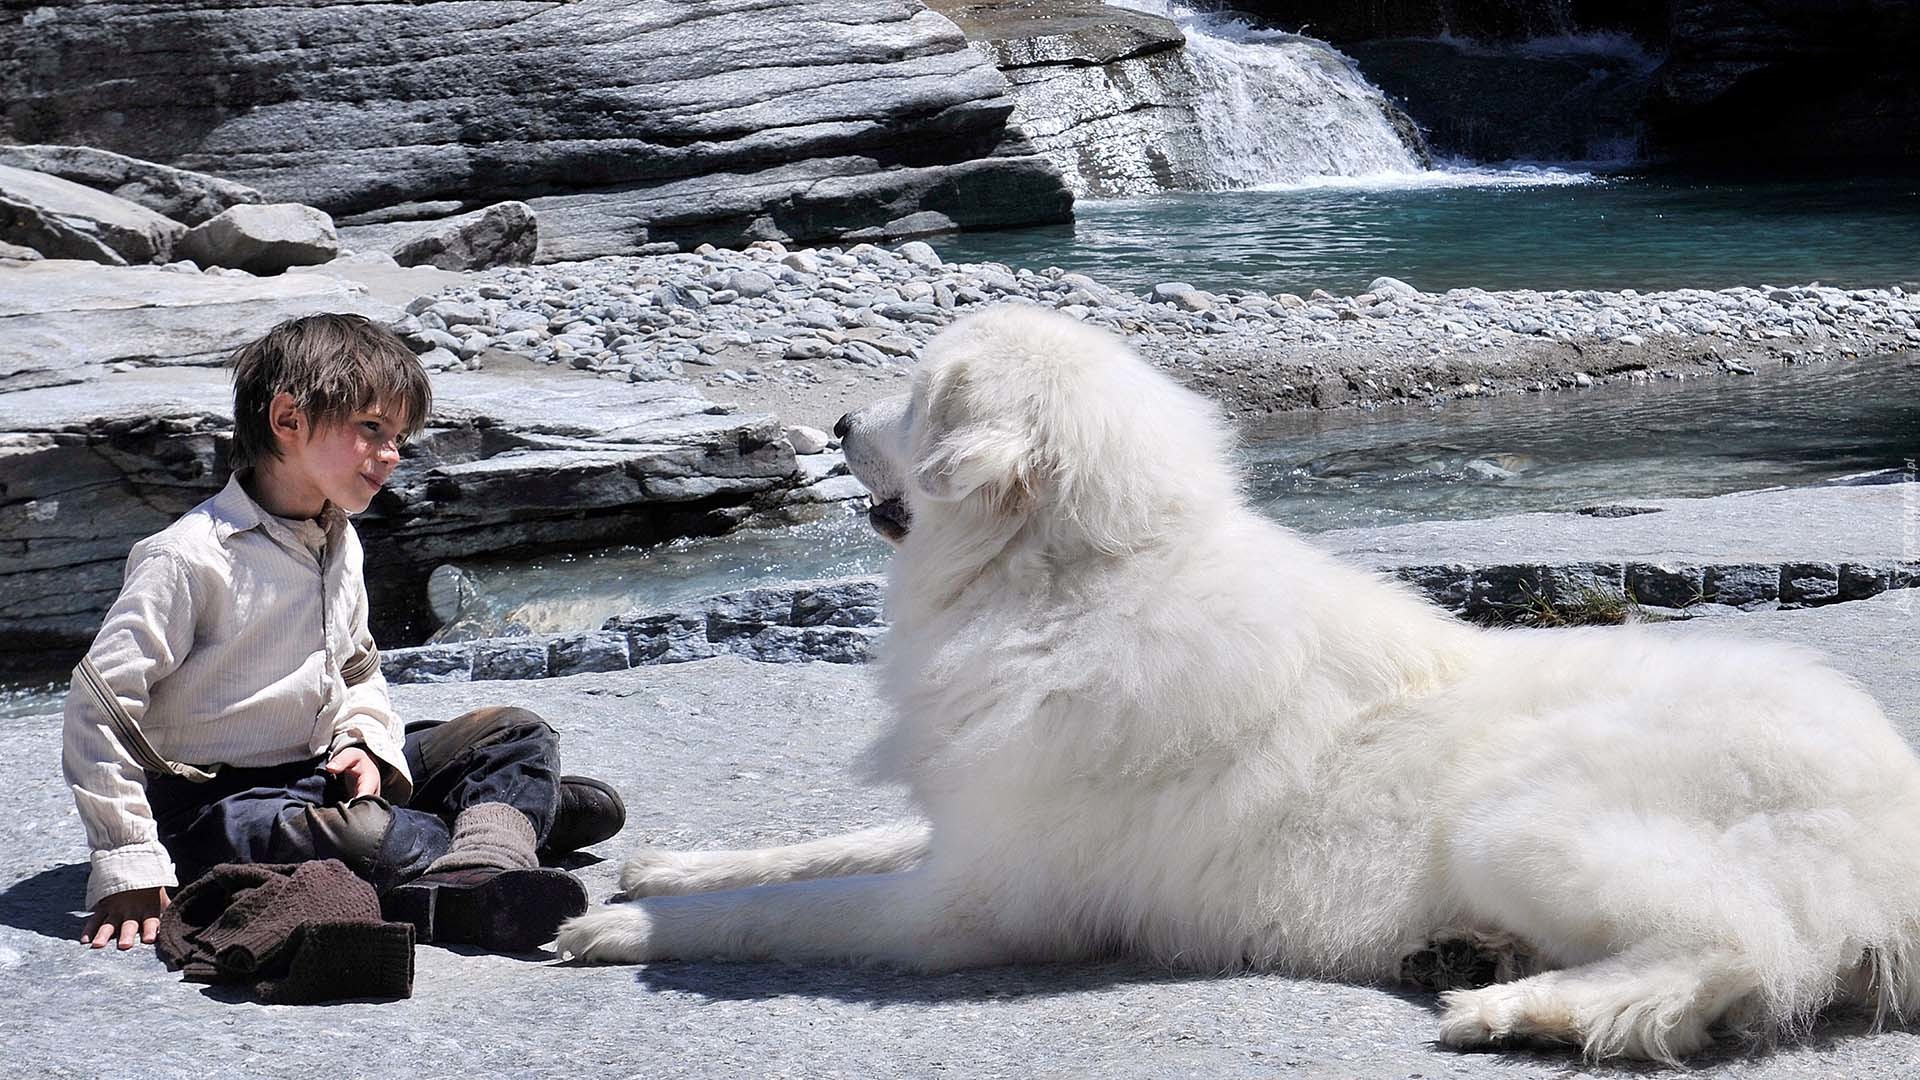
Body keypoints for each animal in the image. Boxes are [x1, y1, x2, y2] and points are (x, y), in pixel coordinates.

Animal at [560, 303, 1920, 1060]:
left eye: (914, 397)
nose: (840, 421)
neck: (1075, 584)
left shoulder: (971, 910)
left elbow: (799, 911)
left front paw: (627, 927)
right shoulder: (975, 825)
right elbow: (827, 847)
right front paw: (676, 867)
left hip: (1521, 820)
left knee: (1737, 955)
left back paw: (1521, 1012)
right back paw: (1477, 962)